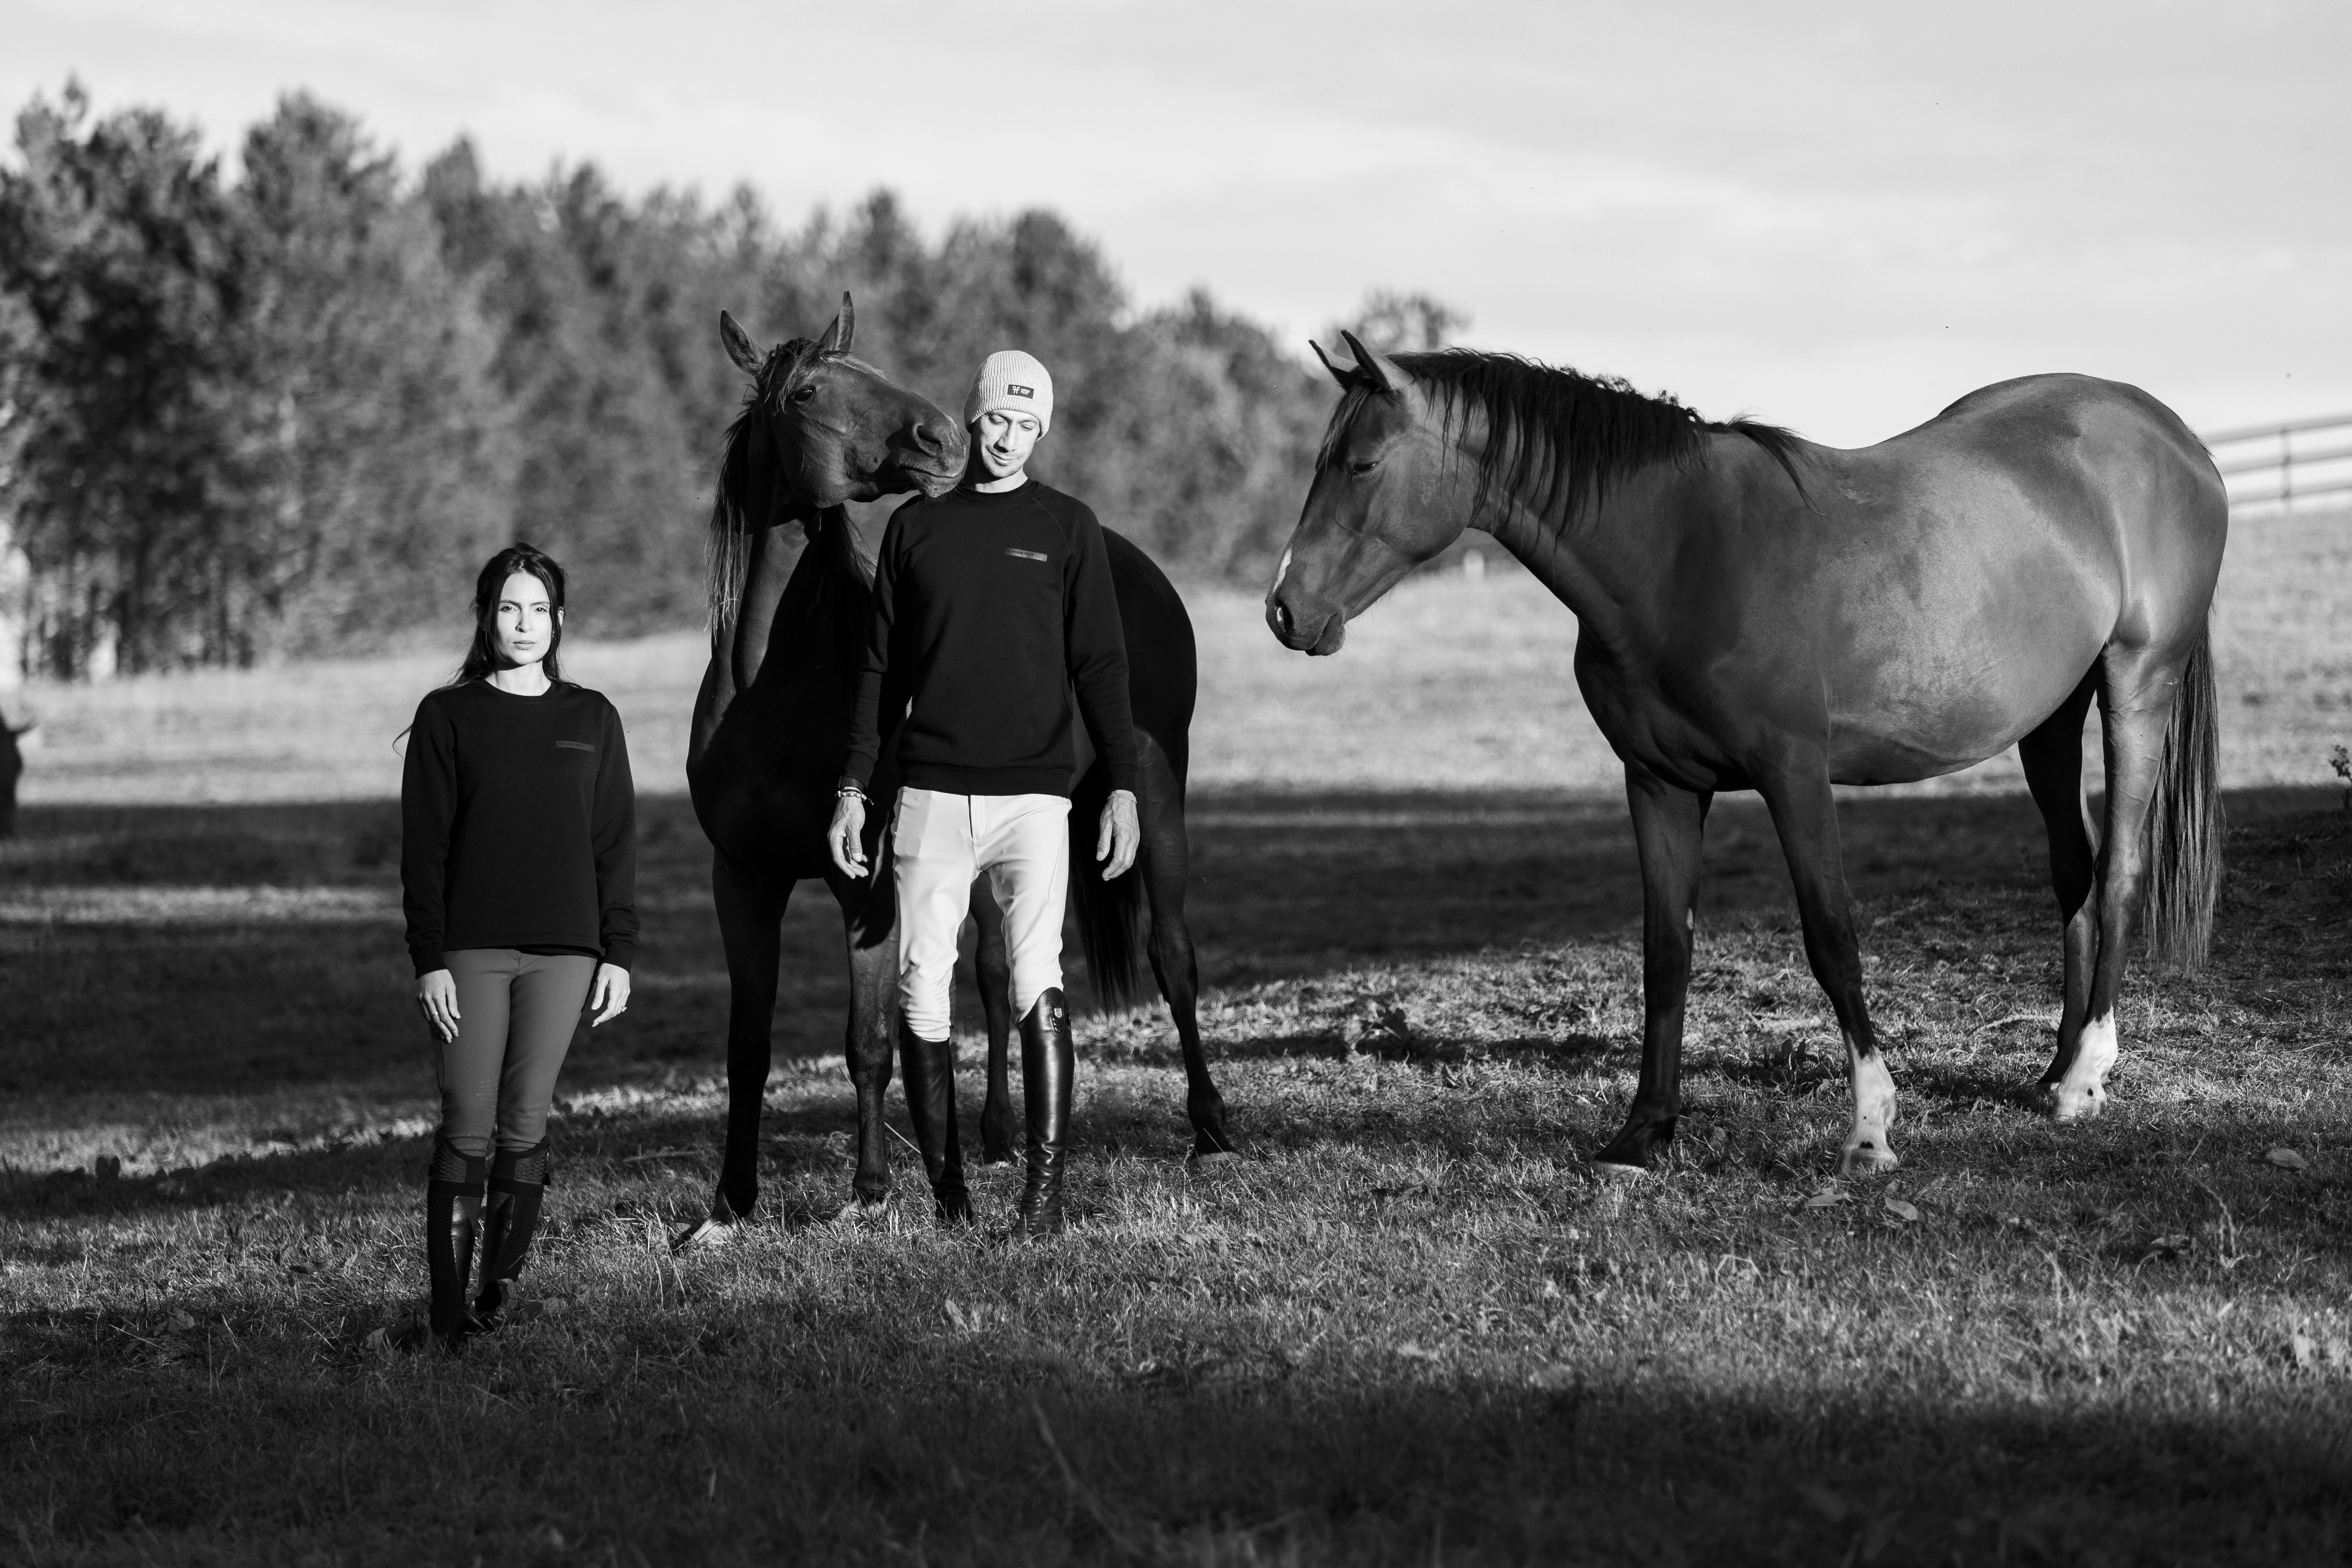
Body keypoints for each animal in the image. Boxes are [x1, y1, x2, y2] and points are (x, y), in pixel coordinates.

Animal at [1267, 335, 2225, 1177]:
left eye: (1360, 464)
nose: (1285, 610)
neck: (1679, 554)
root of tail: (2173, 435)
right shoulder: (1658, 785)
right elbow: (1665, 954)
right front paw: (1642, 1137)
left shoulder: (1793, 776)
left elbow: (1831, 938)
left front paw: (1870, 1131)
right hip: (2050, 721)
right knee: (2075, 874)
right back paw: (2058, 1073)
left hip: (2136, 686)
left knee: (2122, 870)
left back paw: (2087, 1074)